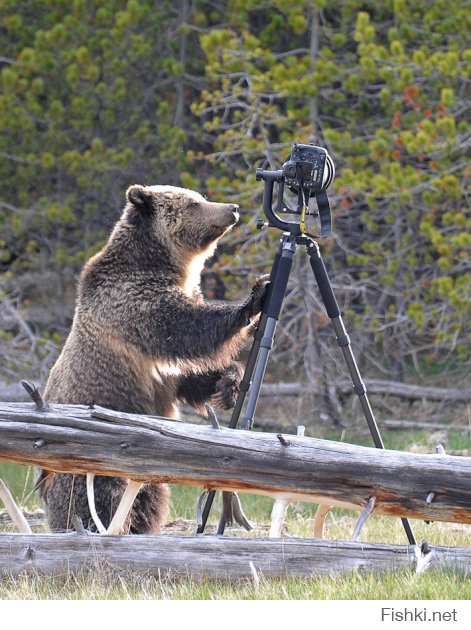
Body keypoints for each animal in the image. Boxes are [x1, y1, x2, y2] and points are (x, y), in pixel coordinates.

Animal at [37, 184, 270, 532]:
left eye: (201, 197)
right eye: (194, 203)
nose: (233, 207)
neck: (161, 265)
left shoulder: (161, 365)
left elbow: (186, 376)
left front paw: (229, 383)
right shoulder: (132, 304)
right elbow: (186, 328)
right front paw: (255, 297)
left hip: (146, 472)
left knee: (150, 500)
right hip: (90, 458)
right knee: (93, 502)